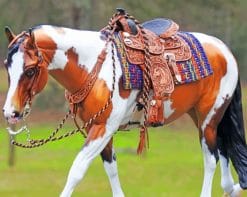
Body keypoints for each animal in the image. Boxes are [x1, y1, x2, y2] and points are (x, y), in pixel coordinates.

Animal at [2, 11, 247, 197]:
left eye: (30, 70)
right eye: (7, 66)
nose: (10, 112)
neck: (93, 66)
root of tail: (224, 49)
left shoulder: (103, 127)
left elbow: (77, 169)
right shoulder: (98, 128)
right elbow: (111, 168)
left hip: (209, 118)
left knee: (211, 159)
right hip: (202, 116)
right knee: (223, 149)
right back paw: (230, 188)